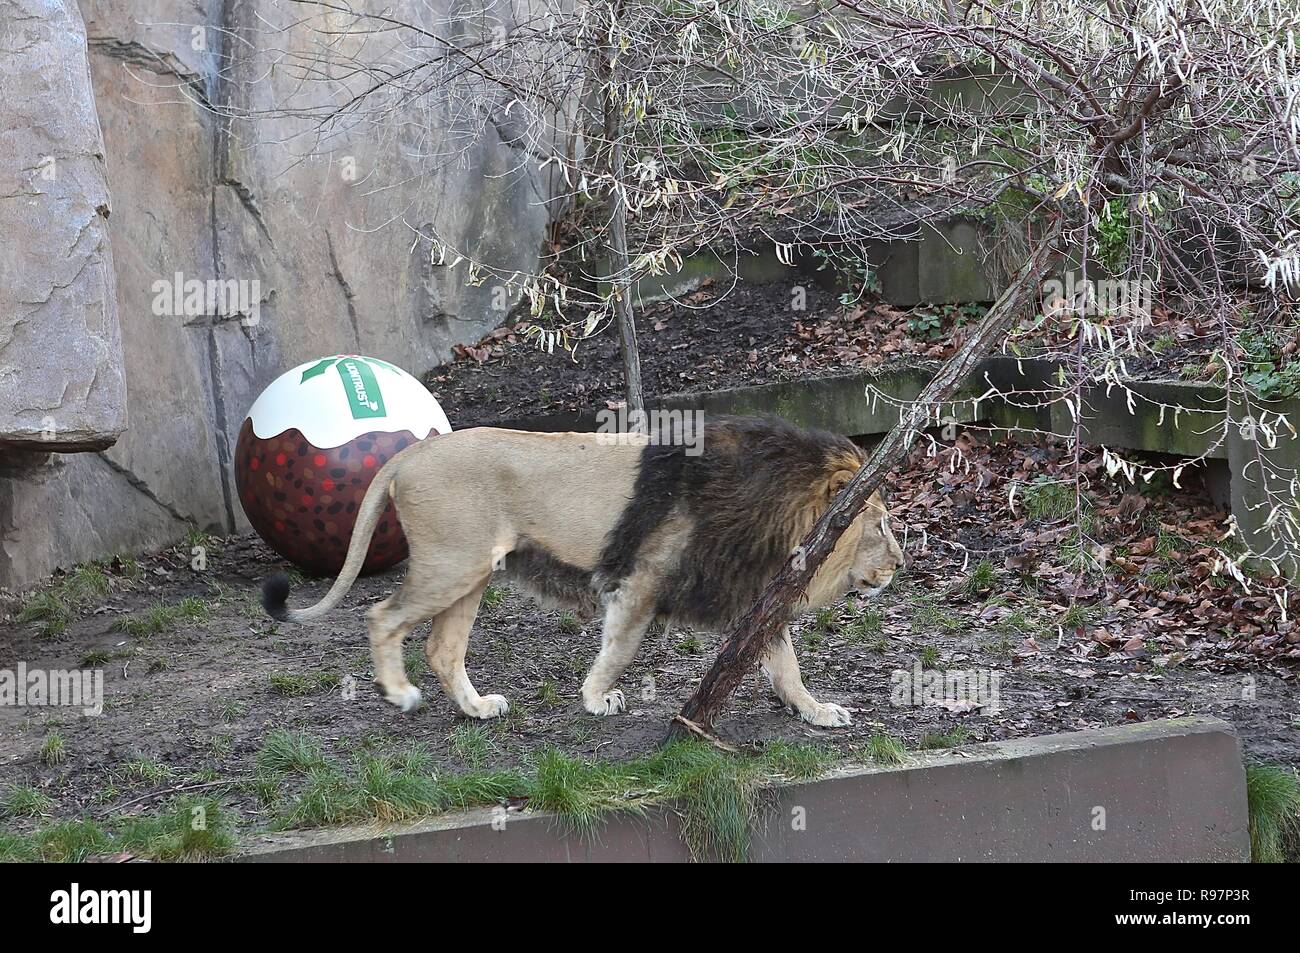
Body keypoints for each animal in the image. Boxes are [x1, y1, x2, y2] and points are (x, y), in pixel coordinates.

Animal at [263, 413, 904, 722]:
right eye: (879, 524)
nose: (900, 563)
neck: (774, 512)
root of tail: (410, 452)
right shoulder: (642, 581)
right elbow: (619, 647)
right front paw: (597, 699)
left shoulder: (753, 592)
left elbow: (787, 668)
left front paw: (817, 713)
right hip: (450, 565)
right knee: (380, 615)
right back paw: (399, 694)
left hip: (472, 573)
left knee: (442, 649)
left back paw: (478, 709)